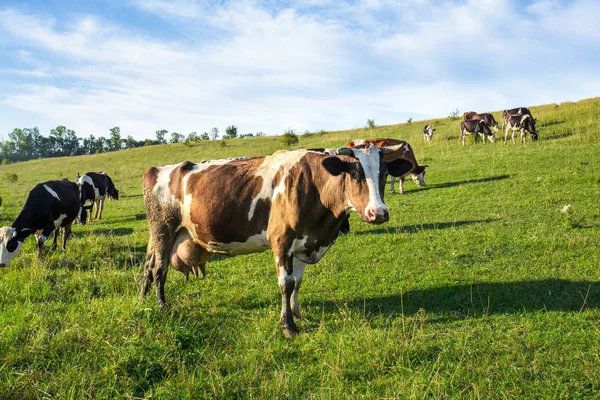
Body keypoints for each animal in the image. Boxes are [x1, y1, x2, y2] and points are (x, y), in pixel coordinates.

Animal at [140, 147, 412, 338]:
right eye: (355, 174)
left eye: (384, 174)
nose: (379, 213)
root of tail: (157, 169)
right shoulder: (282, 242)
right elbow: (286, 284)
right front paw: (288, 326)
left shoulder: (304, 244)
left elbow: (297, 283)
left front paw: (297, 315)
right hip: (163, 230)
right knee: (159, 268)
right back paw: (162, 306)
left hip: (166, 235)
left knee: (149, 266)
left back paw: (143, 300)